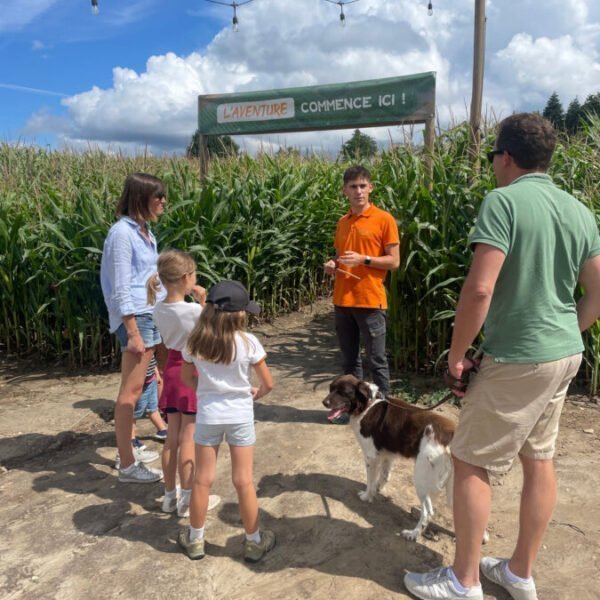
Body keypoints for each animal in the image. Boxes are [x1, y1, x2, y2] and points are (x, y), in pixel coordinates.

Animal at [324, 372, 454, 540]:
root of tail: (450, 436)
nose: (324, 402)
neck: (367, 405)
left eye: (342, 392)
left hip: (421, 478)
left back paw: (413, 534)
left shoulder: (371, 456)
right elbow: (384, 476)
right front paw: (377, 490)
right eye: (331, 388)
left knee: (428, 512)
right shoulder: (387, 454)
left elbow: (370, 480)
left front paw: (367, 496)